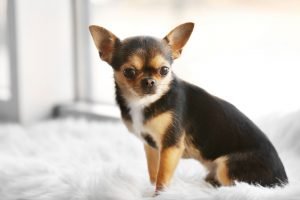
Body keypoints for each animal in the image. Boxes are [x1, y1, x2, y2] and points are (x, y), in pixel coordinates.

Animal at [89, 22, 288, 192]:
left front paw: (159, 194)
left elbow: (162, 177)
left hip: (227, 166)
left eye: (164, 70)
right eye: (129, 72)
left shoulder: (171, 146)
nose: (149, 81)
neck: (144, 103)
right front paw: (149, 188)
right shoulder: (151, 146)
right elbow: (153, 172)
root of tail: (283, 180)